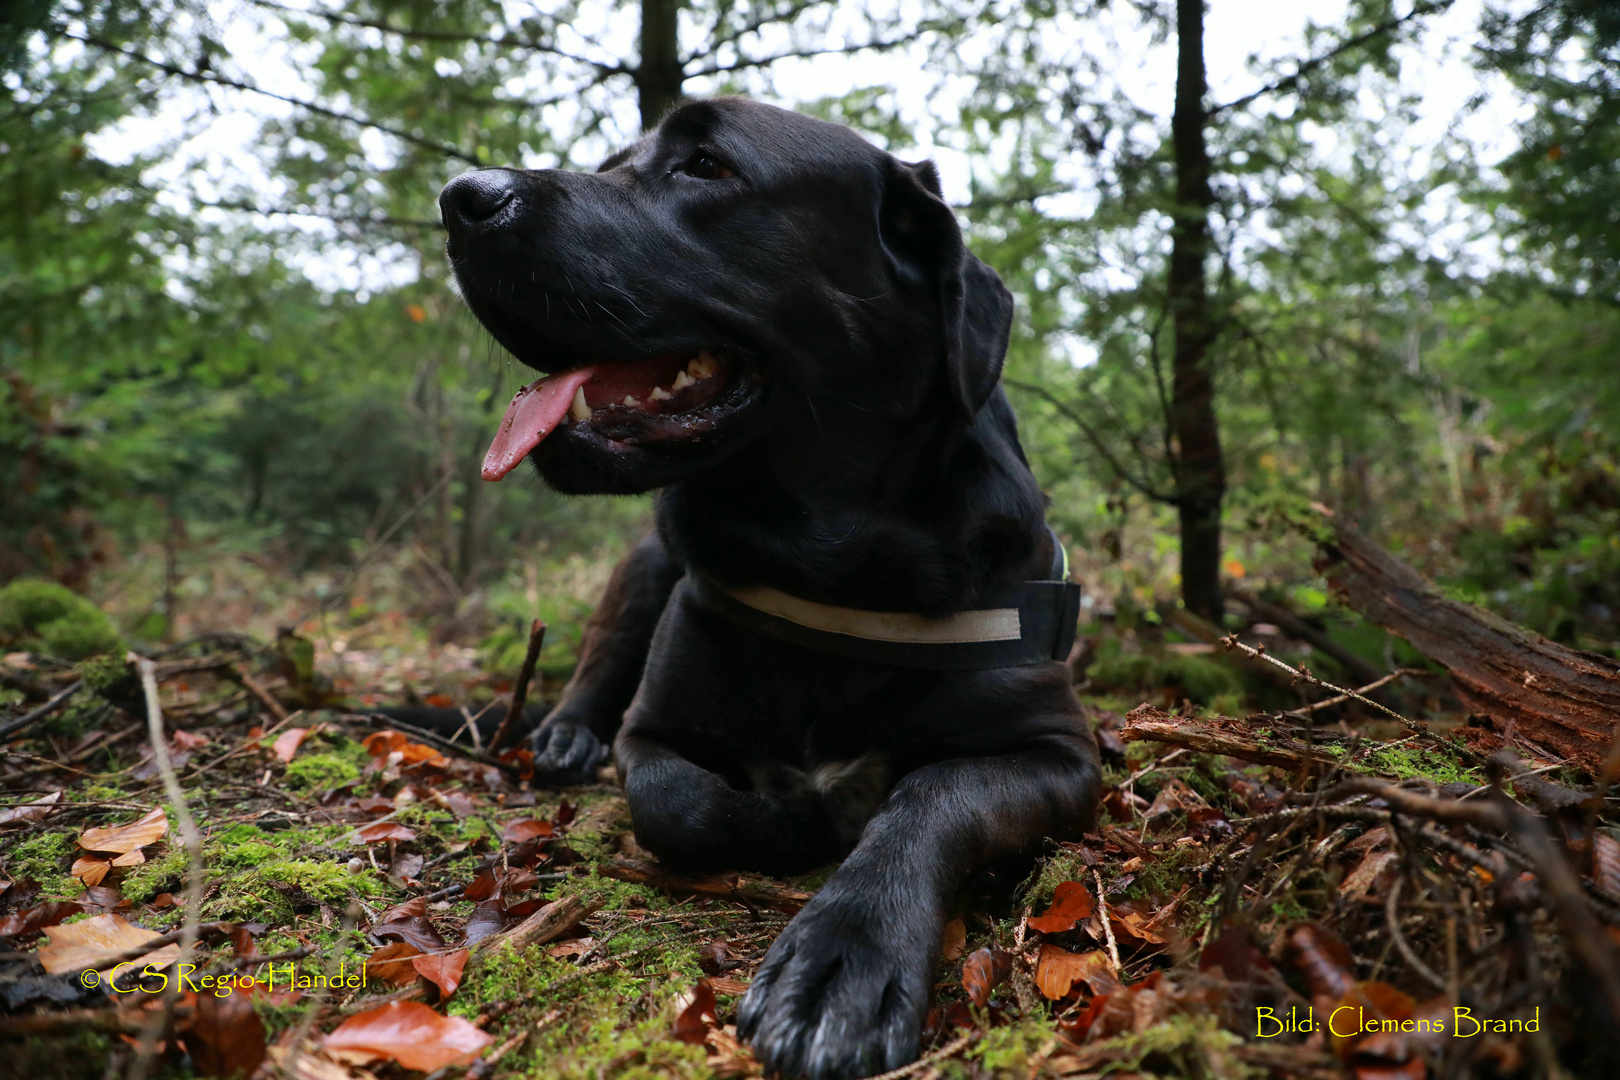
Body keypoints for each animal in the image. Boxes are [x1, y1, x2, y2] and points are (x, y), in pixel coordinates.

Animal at [440, 97, 1101, 1075]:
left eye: (708, 165)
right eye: (614, 159)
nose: (461, 197)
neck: (834, 564)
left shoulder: (1059, 751)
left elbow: (936, 793)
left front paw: (844, 958)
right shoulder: (655, 729)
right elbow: (678, 802)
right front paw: (787, 821)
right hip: (642, 570)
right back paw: (564, 737)